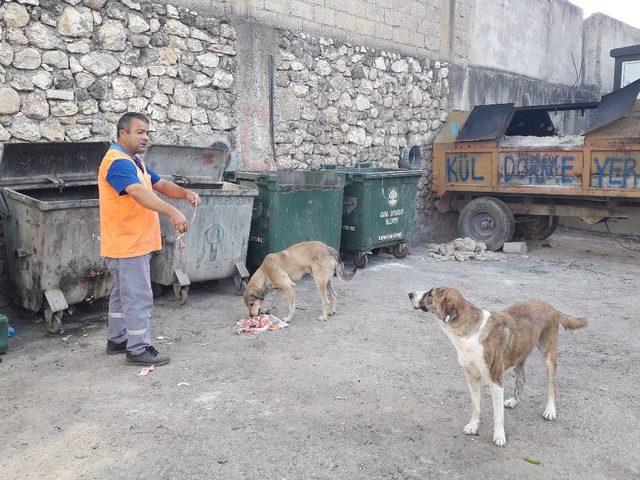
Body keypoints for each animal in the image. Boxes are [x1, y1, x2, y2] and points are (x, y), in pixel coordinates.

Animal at [410, 284, 584, 446]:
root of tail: (552, 307)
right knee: (521, 380)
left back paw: (550, 410)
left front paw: (499, 436)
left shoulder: (496, 380)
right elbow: (476, 406)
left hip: (548, 357)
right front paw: (473, 426)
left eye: (430, 293)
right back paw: (514, 401)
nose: (410, 294)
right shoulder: (472, 378)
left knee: (552, 386)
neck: (470, 331)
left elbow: (498, 415)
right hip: (520, 355)